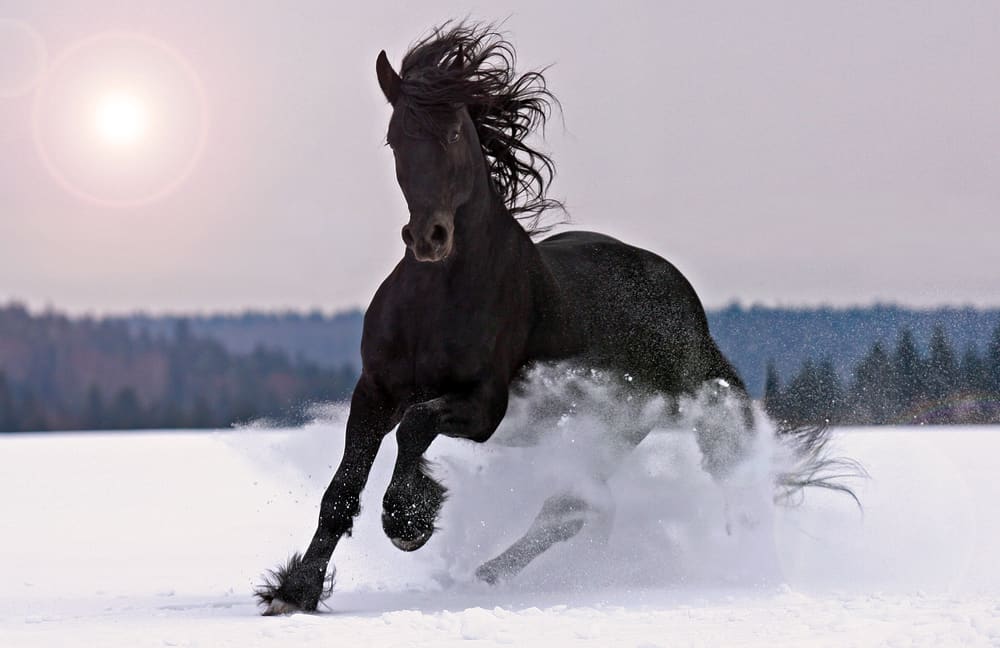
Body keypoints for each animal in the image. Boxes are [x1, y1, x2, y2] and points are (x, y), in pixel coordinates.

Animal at [256, 23, 856, 615]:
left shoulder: (485, 405)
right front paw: (294, 591)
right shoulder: (376, 391)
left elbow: (416, 426)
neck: (439, 299)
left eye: (452, 135)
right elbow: (341, 490)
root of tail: (688, 308)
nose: (428, 238)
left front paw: (408, 520)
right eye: (394, 138)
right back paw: (486, 575)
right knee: (576, 506)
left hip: (619, 425)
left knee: (576, 505)